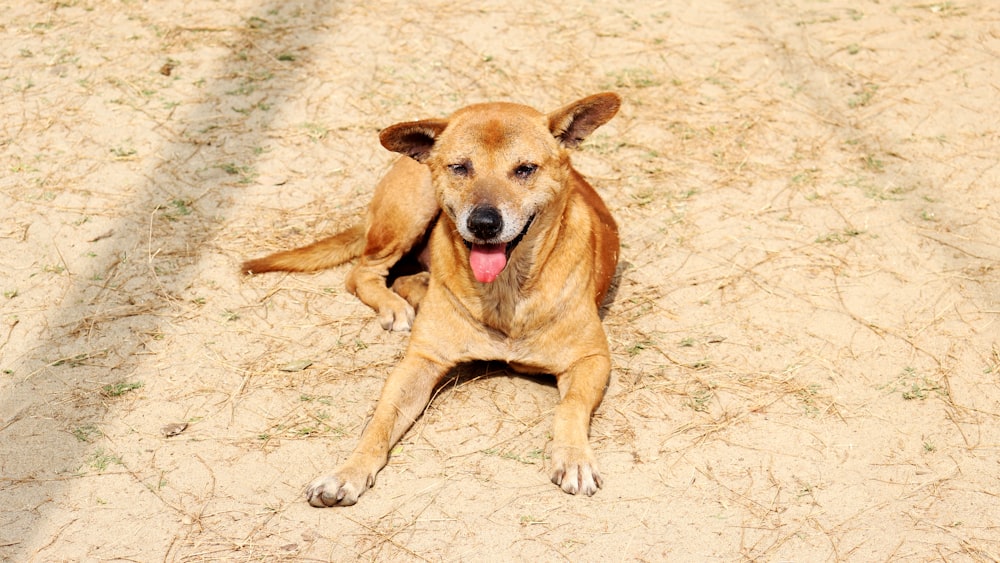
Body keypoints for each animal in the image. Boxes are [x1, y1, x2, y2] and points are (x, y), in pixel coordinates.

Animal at [242, 92, 616, 506]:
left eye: (525, 169)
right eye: (460, 167)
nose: (484, 224)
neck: (504, 291)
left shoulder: (592, 360)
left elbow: (571, 406)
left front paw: (574, 459)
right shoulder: (420, 363)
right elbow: (380, 421)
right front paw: (347, 472)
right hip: (411, 209)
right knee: (362, 272)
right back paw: (395, 305)